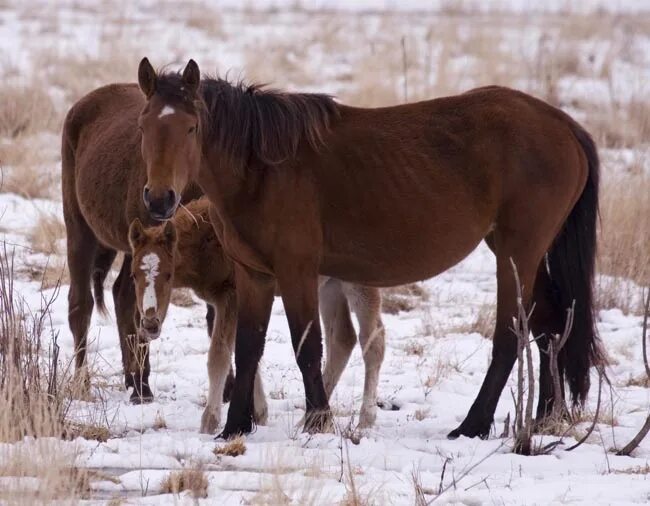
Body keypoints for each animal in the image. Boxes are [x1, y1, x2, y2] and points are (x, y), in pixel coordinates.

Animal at [61, 82, 218, 404]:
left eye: (191, 127)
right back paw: (88, 383)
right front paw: (142, 387)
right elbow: (141, 308)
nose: (159, 199)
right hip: (80, 230)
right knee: (81, 304)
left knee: (121, 294)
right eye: (142, 127)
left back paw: (133, 379)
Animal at [127, 198, 384, 430]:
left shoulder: (230, 297)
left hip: (360, 282)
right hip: (328, 285)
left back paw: (365, 420)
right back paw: (309, 420)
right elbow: (247, 349)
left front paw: (209, 421)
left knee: (373, 341)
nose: (150, 324)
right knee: (342, 339)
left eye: (169, 275)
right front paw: (259, 413)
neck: (206, 240)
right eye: (133, 275)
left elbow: (219, 355)